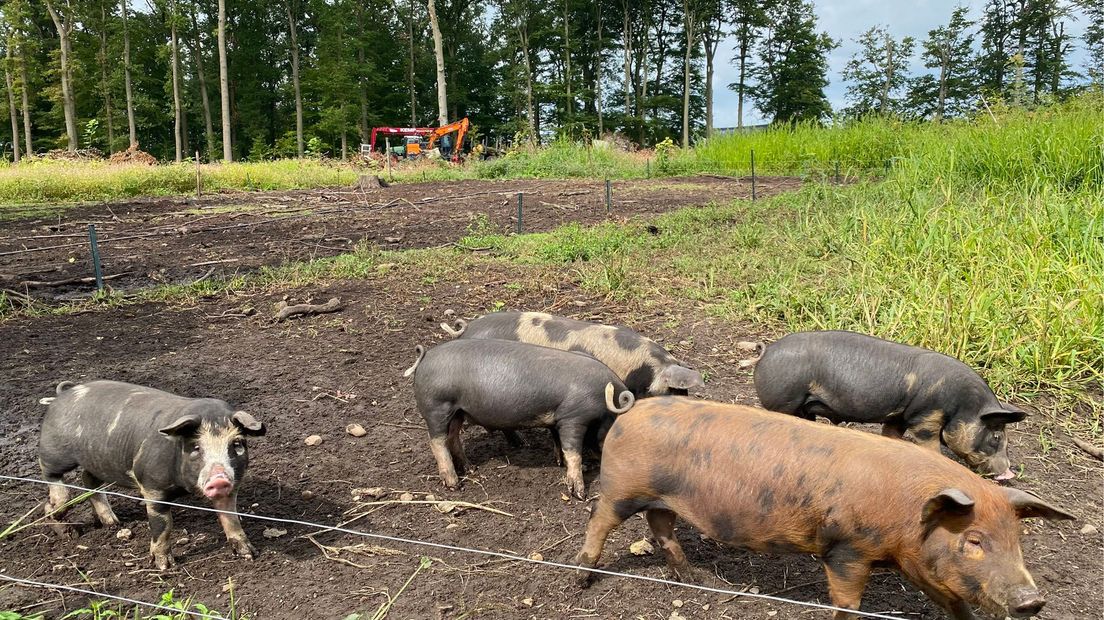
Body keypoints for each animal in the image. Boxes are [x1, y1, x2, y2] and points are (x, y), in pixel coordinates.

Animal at [37, 379, 266, 569]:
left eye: (237, 444)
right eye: (196, 447)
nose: (219, 479)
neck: (184, 487)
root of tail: (63, 394)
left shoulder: (232, 487)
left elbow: (231, 518)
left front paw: (249, 554)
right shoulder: (152, 487)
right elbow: (162, 526)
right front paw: (164, 566)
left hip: (97, 461)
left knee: (88, 479)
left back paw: (113, 523)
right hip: (54, 453)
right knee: (51, 478)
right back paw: (62, 520)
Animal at [401, 337, 635, 496]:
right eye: (619, 431)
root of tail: (426, 356)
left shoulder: (558, 420)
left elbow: (558, 442)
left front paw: (559, 462)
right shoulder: (573, 417)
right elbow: (573, 452)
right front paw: (579, 493)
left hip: (458, 411)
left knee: (453, 438)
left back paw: (471, 468)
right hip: (436, 408)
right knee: (437, 442)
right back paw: (454, 484)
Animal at [574, 397, 1073, 613]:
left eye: (1017, 539)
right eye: (973, 540)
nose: (1033, 600)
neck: (908, 518)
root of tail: (632, 411)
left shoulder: (918, 563)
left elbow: (951, 602)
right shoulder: (846, 550)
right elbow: (848, 600)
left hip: (664, 498)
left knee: (661, 526)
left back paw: (691, 577)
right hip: (622, 488)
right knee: (600, 519)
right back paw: (582, 578)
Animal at [750, 328, 1024, 478]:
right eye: (997, 436)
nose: (1008, 471)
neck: (963, 406)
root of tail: (767, 350)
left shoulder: (898, 417)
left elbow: (892, 435)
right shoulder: (926, 417)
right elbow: (930, 444)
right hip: (784, 400)